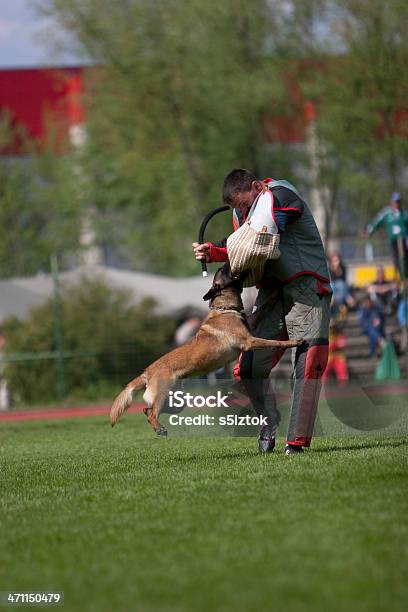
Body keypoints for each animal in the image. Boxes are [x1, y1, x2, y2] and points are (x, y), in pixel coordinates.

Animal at [110, 262, 302, 436]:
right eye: (224, 271)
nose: (224, 263)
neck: (225, 308)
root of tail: (147, 372)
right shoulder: (249, 341)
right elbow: (273, 342)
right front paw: (295, 341)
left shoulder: (252, 324)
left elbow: (264, 308)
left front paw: (277, 291)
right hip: (163, 394)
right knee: (151, 413)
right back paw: (159, 429)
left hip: (177, 402)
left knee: (146, 410)